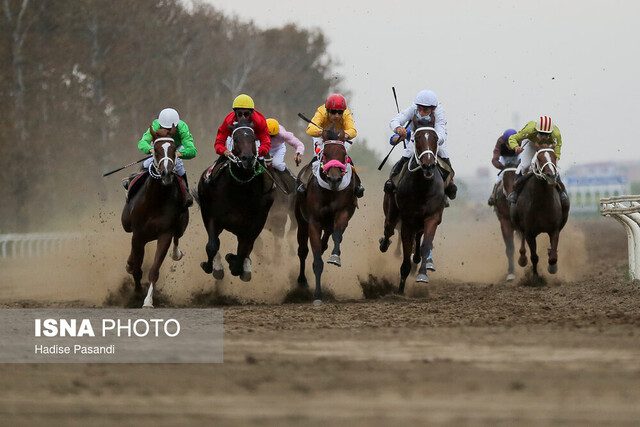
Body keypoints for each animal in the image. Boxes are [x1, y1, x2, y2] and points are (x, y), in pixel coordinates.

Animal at [120, 125, 188, 310]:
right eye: (156, 150)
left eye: (173, 149)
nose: (166, 173)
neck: (155, 200)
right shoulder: (138, 234)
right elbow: (137, 268)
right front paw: (137, 292)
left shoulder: (165, 234)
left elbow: (154, 270)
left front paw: (148, 300)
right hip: (128, 225)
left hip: (181, 224)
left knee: (178, 236)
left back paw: (176, 253)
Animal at [196, 118, 274, 282]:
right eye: (236, 139)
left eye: (253, 138)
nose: (247, 159)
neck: (239, 189)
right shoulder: (212, 216)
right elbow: (212, 245)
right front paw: (210, 266)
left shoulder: (254, 224)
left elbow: (243, 251)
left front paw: (235, 264)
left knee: (246, 247)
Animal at [296, 139, 358, 302]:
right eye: (325, 155)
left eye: (344, 154)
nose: (334, 179)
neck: (330, 192)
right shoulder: (314, 222)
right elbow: (316, 258)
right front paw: (317, 295)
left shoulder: (343, 212)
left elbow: (337, 235)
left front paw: (335, 257)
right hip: (301, 220)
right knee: (302, 250)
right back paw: (302, 281)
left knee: (329, 236)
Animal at [380, 120, 444, 294]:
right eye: (417, 138)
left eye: (436, 138)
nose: (428, 165)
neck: (423, 188)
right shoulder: (407, 220)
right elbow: (406, 248)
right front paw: (400, 289)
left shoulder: (432, 217)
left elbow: (426, 244)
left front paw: (422, 274)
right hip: (392, 207)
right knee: (388, 228)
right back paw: (384, 243)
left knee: (417, 237)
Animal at [510, 144, 568, 278]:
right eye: (539, 158)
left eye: (554, 157)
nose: (551, 175)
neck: (542, 202)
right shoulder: (530, 233)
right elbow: (534, 256)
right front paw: (535, 277)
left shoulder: (554, 229)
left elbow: (553, 256)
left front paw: (552, 267)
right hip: (517, 223)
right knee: (521, 240)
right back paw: (522, 259)